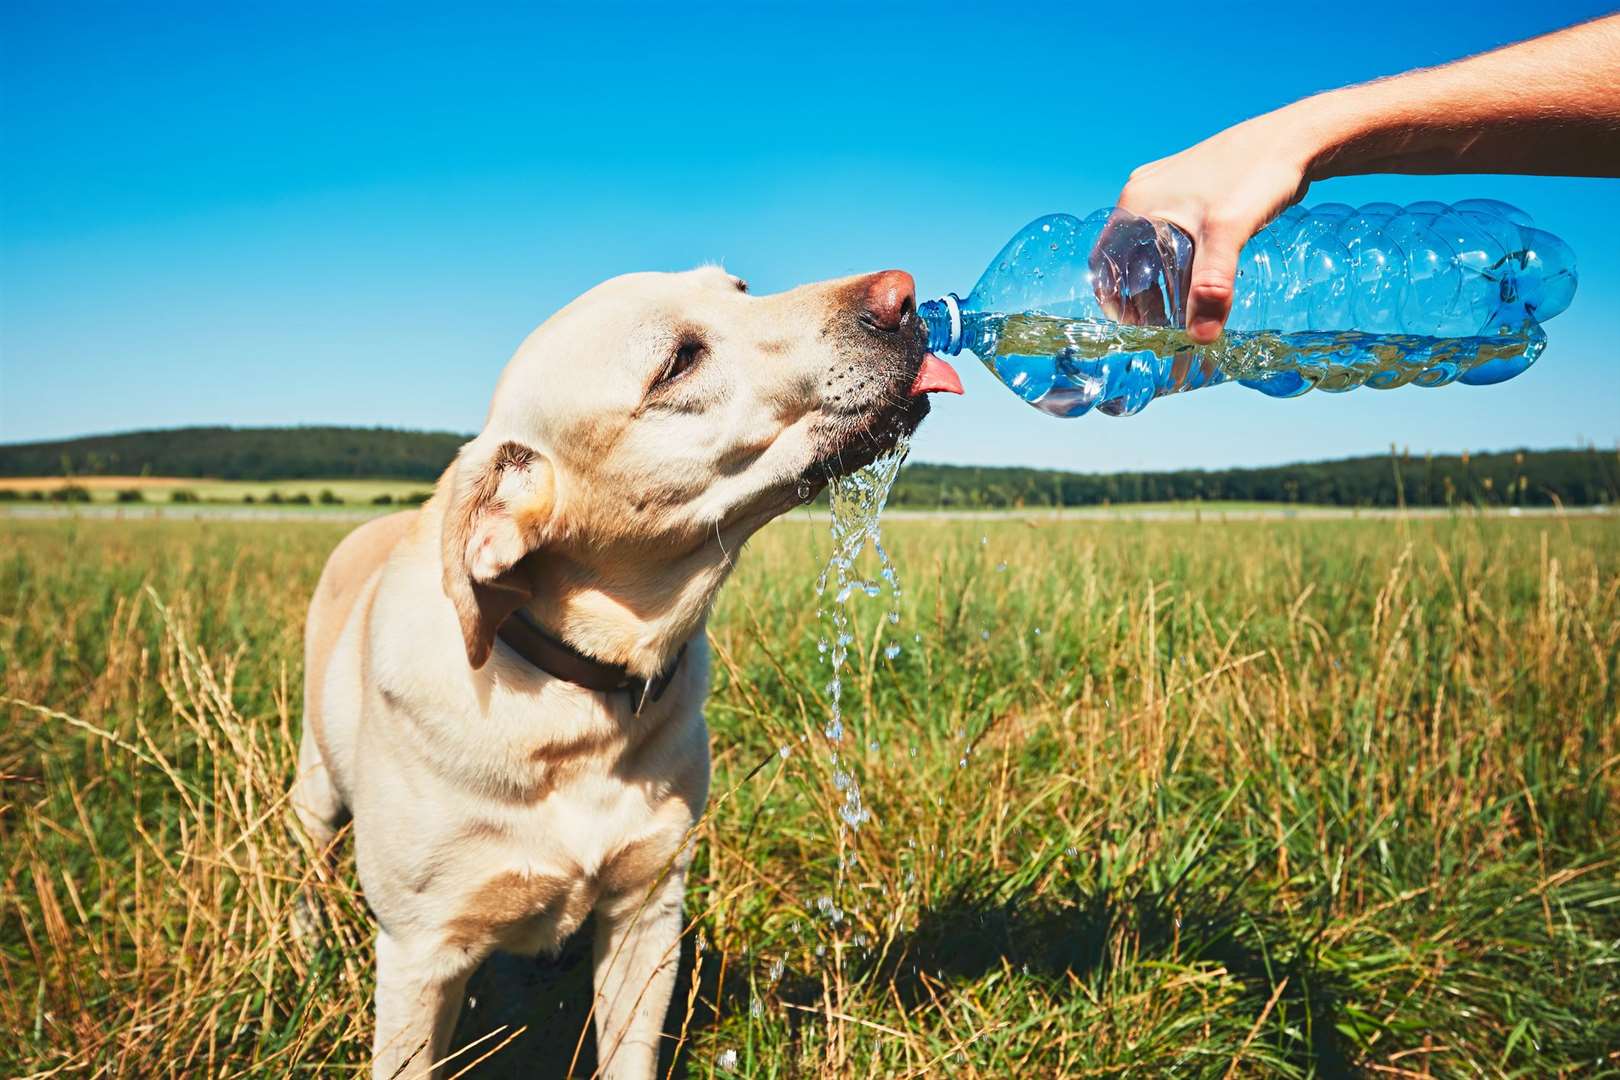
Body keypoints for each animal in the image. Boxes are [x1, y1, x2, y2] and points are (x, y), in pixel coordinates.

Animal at [293, 263, 959, 1080]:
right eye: (677, 362)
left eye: (740, 287)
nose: (903, 294)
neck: (577, 699)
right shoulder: (421, 953)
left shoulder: (648, 912)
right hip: (315, 790)